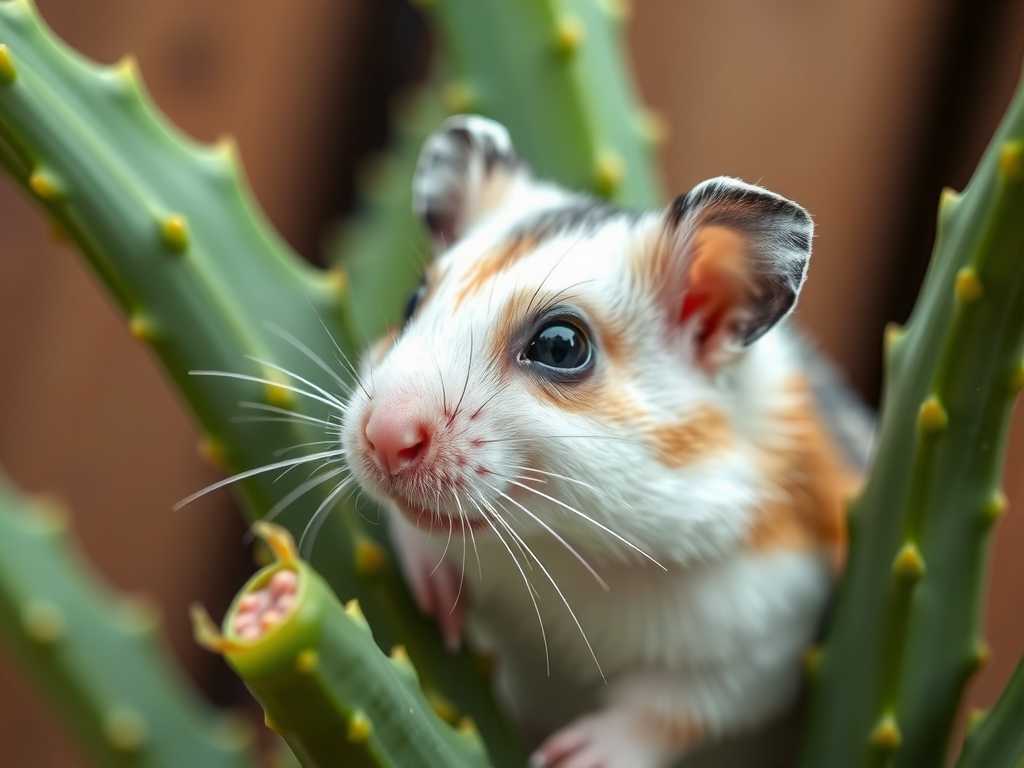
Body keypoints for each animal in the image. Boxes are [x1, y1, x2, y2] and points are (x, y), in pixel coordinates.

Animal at [340, 115, 865, 768]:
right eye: (411, 302)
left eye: (561, 346)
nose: (383, 437)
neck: (565, 548)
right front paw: (439, 607)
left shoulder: (766, 635)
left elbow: (674, 709)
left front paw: (564, 756)